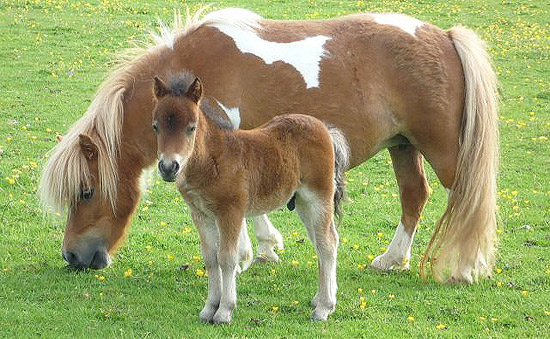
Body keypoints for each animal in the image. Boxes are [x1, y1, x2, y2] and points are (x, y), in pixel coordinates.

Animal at [40, 8, 500, 284]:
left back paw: (468, 267)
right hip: (402, 146)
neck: (191, 72)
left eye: (86, 192)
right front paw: (264, 248)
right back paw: (391, 260)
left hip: (441, 150)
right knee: (414, 196)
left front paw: (243, 254)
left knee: (469, 197)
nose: (73, 256)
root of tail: (444, 36)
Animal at [151, 73, 350, 322]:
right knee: (320, 241)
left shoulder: (231, 212)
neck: (213, 160)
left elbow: (227, 258)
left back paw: (323, 307)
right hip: (303, 203)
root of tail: (324, 128)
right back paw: (322, 300)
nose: (169, 167)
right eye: (156, 127)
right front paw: (209, 308)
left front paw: (224, 311)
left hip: (318, 196)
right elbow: (210, 258)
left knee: (327, 243)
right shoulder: (200, 214)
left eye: (191, 128)